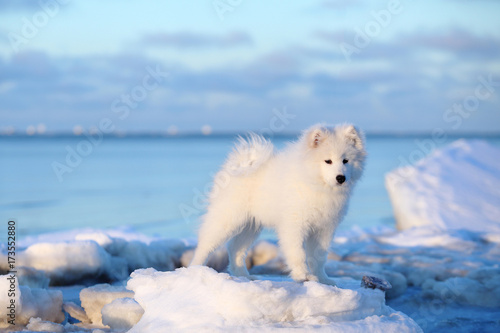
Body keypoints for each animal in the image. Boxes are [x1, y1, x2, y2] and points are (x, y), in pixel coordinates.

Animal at [189, 123, 366, 284]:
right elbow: (298, 253)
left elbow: (319, 257)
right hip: (227, 218)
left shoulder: (325, 228)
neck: (315, 184)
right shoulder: (295, 224)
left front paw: (323, 279)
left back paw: (245, 276)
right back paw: (195, 269)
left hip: (250, 226)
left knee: (235, 249)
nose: (340, 178)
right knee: (206, 245)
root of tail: (239, 164)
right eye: (327, 161)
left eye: (346, 161)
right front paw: (303, 276)